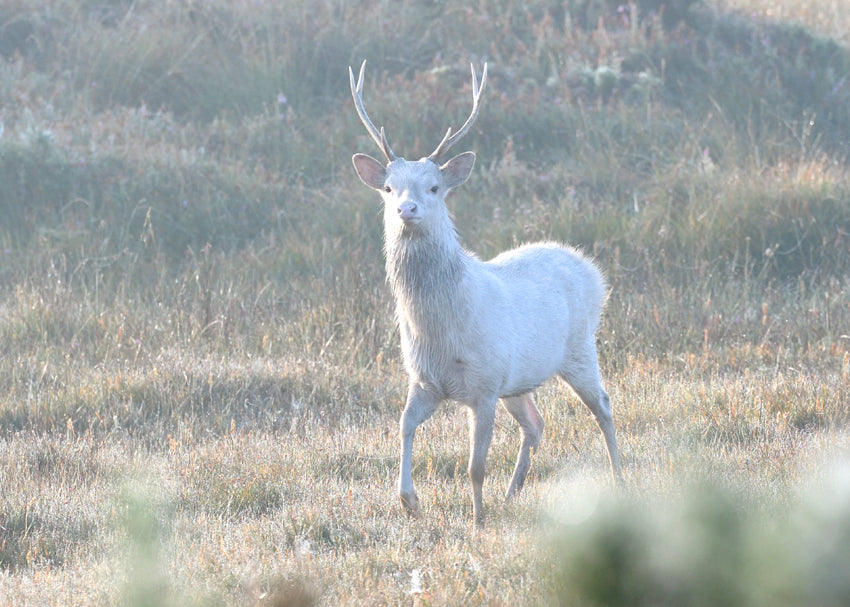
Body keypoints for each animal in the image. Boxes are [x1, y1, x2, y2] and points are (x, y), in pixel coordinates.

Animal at [348, 63, 620, 528]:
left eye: (434, 187)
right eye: (388, 187)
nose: (406, 209)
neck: (440, 330)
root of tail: (593, 270)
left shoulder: (485, 384)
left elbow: (476, 466)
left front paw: (477, 519)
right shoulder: (425, 379)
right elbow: (403, 426)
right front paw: (410, 500)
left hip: (580, 349)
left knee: (602, 406)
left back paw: (621, 477)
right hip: (521, 379)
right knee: (536, 423)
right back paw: (513, 492)